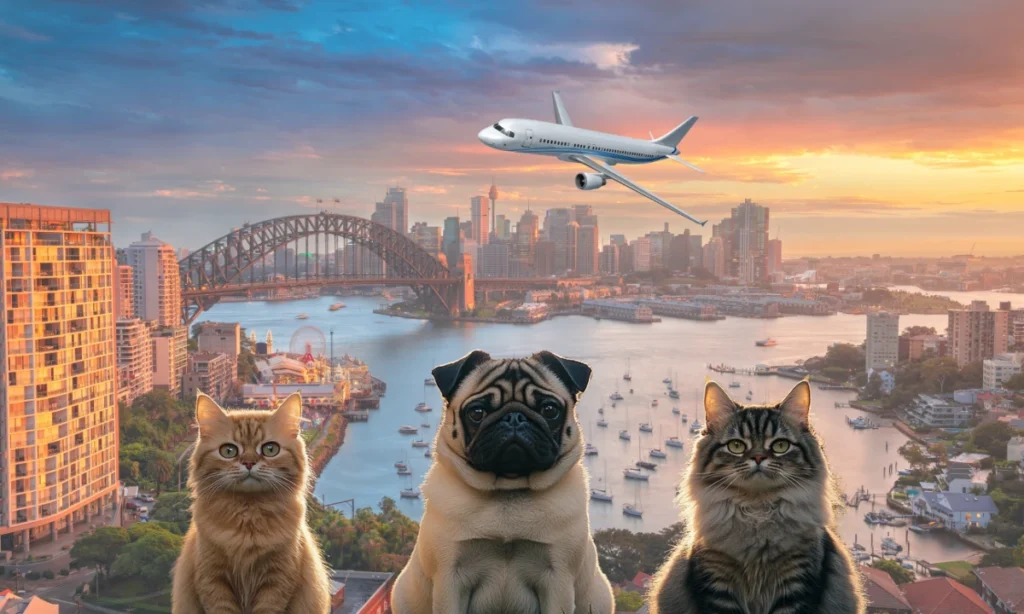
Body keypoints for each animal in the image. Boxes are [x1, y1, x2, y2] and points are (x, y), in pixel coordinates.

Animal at [172, 392, 329, 614]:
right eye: (229, 451)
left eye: (270, 449)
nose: (248, 463)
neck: (248, 517)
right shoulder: (213, 580)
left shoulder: (277, 581)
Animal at [389, 349, 614, 614]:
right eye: (477, 413)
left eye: (550, 410)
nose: (514, 417)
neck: (508, 492)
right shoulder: (450, 578)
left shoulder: (558, 578)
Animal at [647, 378, 864, 614]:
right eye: (736, 446)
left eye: (780, 445)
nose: (758, 457)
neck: (757, 510)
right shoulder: (718, 584)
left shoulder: (796, 583)